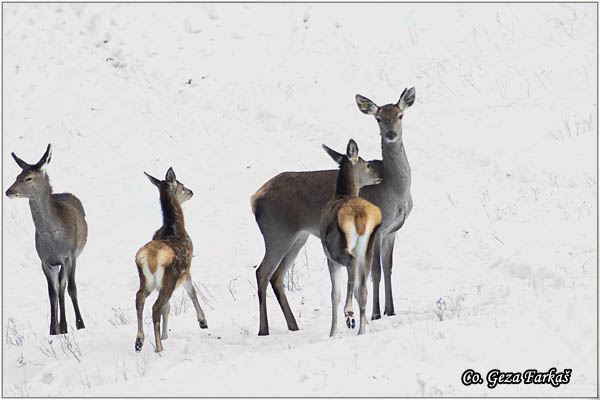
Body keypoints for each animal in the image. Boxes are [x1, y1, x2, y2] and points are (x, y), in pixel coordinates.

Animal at [5, 144, 87, 334]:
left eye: (28, 178)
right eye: (17, 176)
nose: (9, 191)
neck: (54, 241)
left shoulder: (69, 255)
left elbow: (70, 288)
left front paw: (78, 325)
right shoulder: (44, 260)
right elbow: (52, 292)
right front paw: (53, 329)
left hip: (71, 257)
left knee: (65, 286)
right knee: (58, 288)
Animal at [322, 139, 382, 336]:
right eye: (368, 164)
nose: (379, 175)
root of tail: (360, 215)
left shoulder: (329, 258)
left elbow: (334, 295)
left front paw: (332, 333)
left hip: (338, 248)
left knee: (351, 263)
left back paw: (349, 314)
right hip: (369, 247)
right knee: (363, 289)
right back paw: (361, 330)